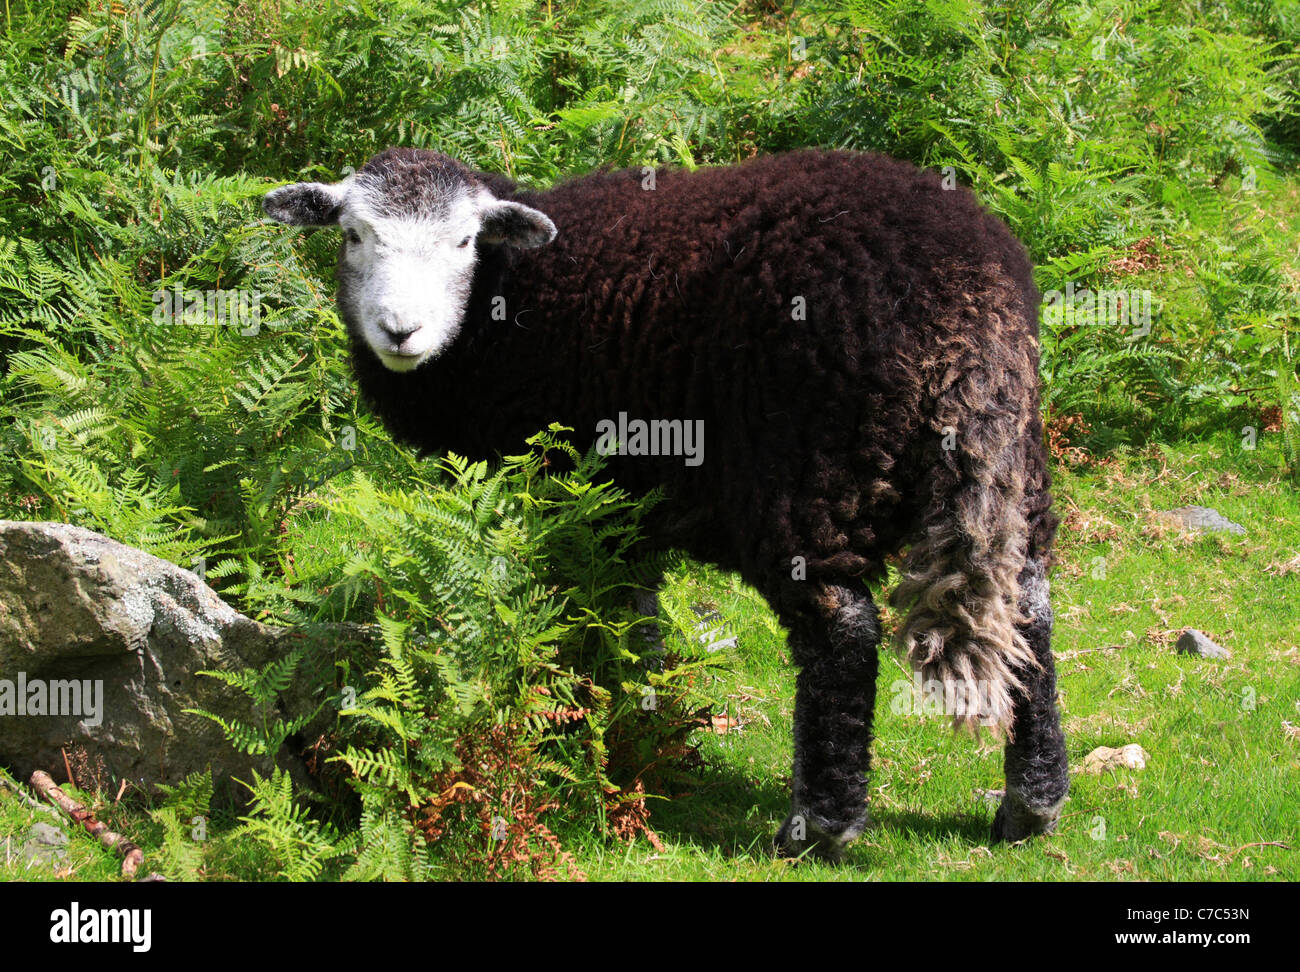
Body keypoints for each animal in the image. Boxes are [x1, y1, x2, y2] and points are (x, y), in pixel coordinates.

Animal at [261, 146, 1066, 857]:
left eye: (463, 240)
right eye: (355, 235)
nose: (401, 331)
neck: (508, 303)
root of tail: (966, 309)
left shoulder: (563, 485)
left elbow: (584, 602)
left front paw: (576, 711)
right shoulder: (622, 499)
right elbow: (634, 607)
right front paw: (638, 712)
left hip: (807, 476)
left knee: (841, 629)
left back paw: (819, 827)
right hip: (1014, 466)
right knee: (1028, 605)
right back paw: (1032, 806)